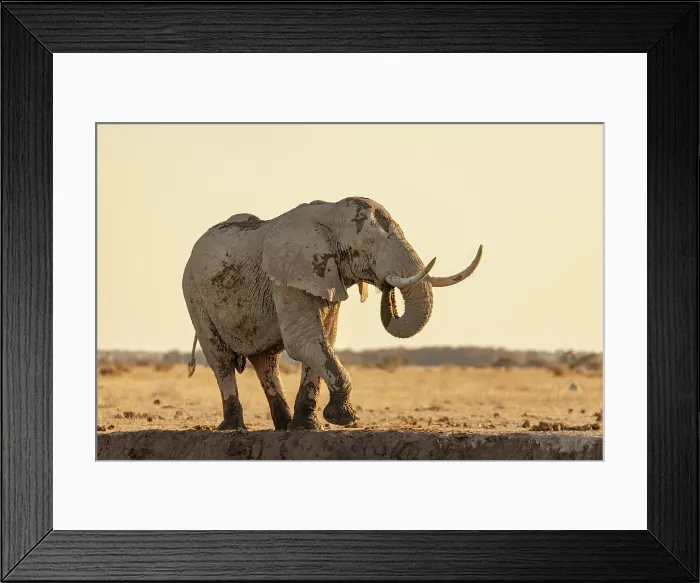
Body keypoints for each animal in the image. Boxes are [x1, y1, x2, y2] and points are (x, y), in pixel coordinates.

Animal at [182, 197, 482, 431]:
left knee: (266, 362)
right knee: (220, 360)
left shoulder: (326, 275)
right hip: (193, 293)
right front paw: (345, 420)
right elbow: (303, 341)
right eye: (370, 242)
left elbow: (324, 338)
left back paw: (283, 425)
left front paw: (307, 427)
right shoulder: (287, 278)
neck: (329, 212)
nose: (386, 288)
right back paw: (234, 428)